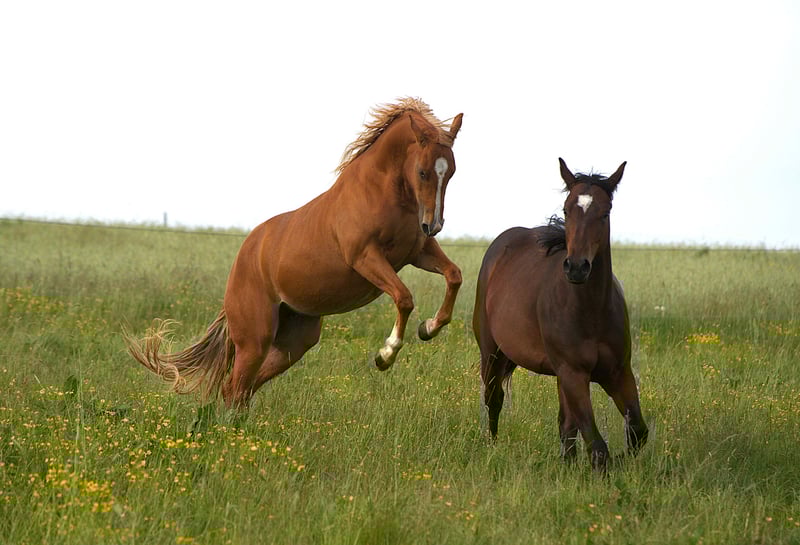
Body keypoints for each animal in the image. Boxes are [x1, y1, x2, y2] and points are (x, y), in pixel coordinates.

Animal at [125, 98, 464, 410]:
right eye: (422, 172)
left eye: (450, 172)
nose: (433, 225)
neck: (380, 194)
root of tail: (243, 258)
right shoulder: (365, 258)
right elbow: (404, 298)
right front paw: (385, 355)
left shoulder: (418, 252)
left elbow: (454, 275)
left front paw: (429, 328)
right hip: (255, 338)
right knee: (234, 388)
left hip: (295, 342)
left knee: (243, 390)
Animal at [472, 158, 648, 471]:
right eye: (566, 208)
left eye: (606, 212)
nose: (577, 267)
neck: (590, 312)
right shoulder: (573, 374)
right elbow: (597, 446)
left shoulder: (618, 372)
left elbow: (637, 431)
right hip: (492, 353)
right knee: (494, 399)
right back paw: (491, 447)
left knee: (565, 425)